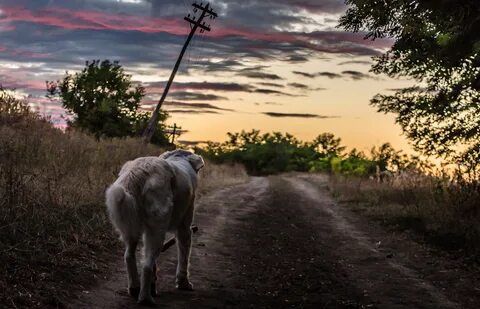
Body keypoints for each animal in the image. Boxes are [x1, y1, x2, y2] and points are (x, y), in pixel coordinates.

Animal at [105, 149, 204, 304]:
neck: (178, 157)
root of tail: (139, 171)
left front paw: (154, 284)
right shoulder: (185, 228)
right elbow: (184, 256)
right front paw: (184, 283)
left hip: (131, 225)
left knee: (129, 256)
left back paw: (134, 288)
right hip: (157, 229)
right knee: (146, 265)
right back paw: (146, 298)